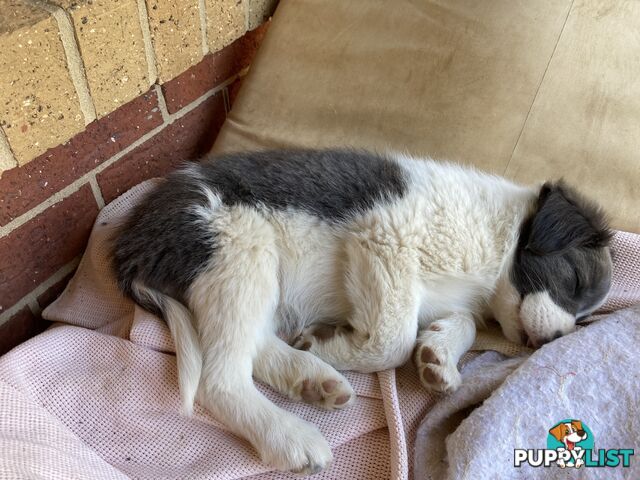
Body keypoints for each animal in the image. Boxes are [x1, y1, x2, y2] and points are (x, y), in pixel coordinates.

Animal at [112, 148, 612, 474]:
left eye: (584, 320)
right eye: (574, 281)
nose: (554, 340)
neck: (493, 237)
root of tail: (135, 240)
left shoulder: (444, 294)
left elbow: (461, 324)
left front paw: (438, 358)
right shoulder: (382, 240)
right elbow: (394, 340)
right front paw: (341, 347)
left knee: (252, 345)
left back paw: (311, 375)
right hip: (240, 251)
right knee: (219, 378)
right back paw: (291, 435)